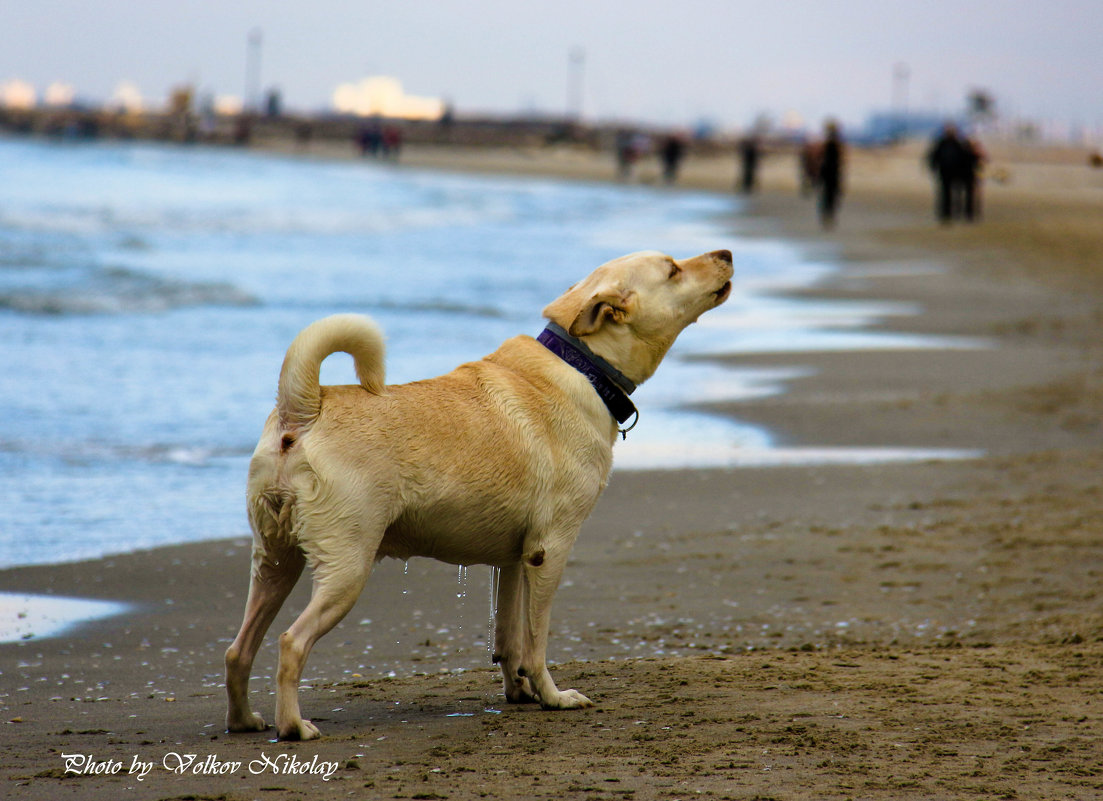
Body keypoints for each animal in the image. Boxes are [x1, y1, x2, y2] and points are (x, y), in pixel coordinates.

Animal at [223, 249, 732, 741]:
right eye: (673, 269)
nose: (726, 252)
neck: (583, 364)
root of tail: (303, 410)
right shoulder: (549, 552)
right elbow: (536, 641)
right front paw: (552, 696)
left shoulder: (513, 560)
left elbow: (508, 639)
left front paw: (520, 693)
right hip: (347, 567)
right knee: (291, 643)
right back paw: (294, 727)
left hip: (275, 561)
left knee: (238, 649)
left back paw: (244, 720)